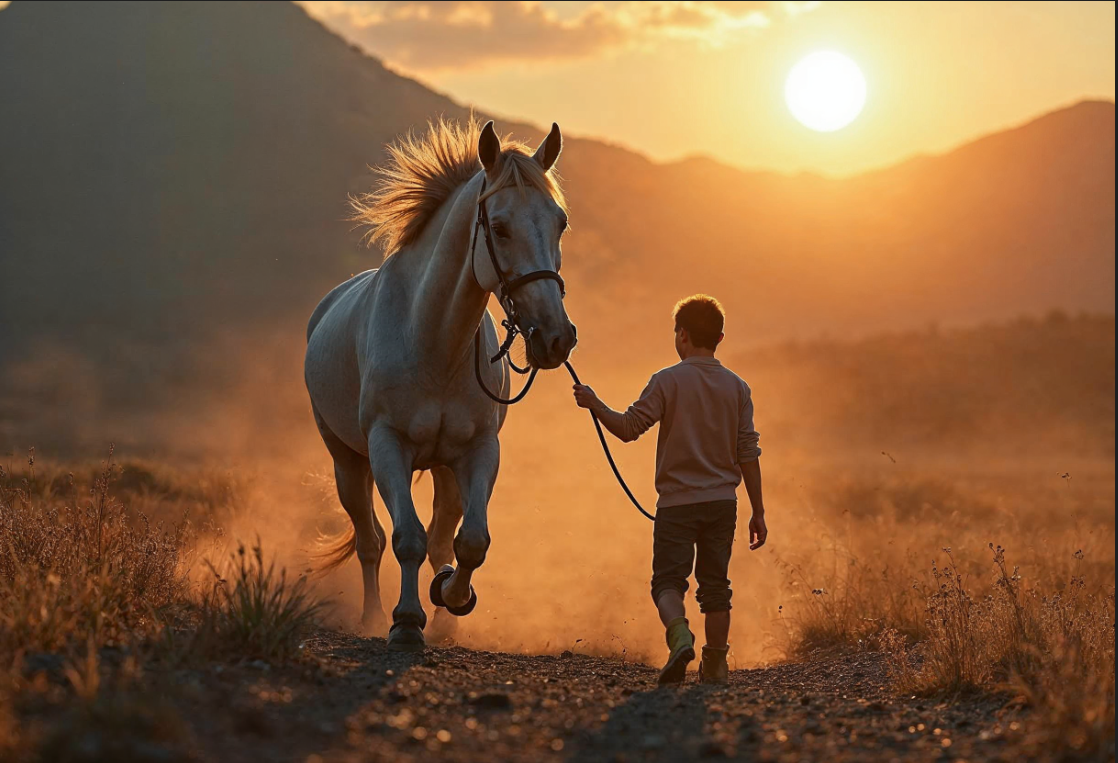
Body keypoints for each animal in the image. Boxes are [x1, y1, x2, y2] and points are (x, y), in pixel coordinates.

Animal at [306, 117, 576, 648]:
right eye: (499, 227)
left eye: (560, 222)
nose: (555, 337)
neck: (432, 342)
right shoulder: (387, 446)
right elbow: (405, 538)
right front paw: (406, 622)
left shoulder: (478, 451)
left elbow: (468, 542)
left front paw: (451, 598)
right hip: (347, 462)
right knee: (370, 542)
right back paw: (372, 616)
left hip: (443, 469)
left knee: (440, 537)